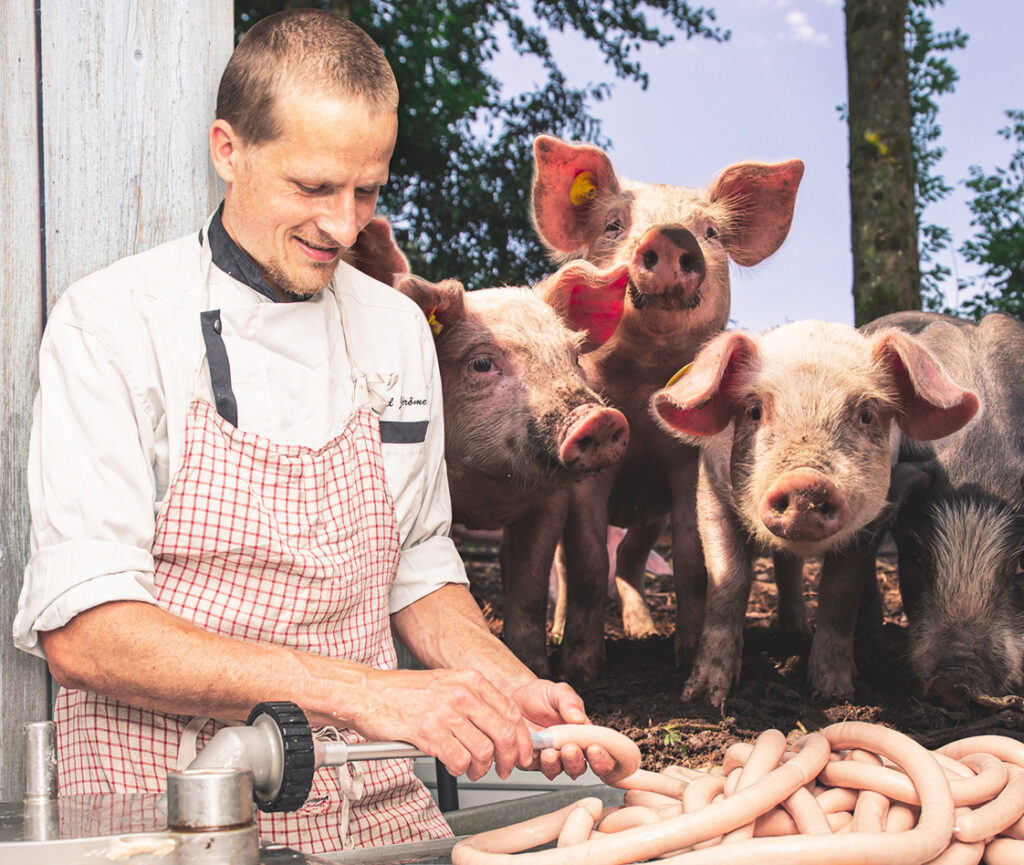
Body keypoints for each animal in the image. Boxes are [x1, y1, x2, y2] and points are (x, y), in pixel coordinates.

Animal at [528, 133, 806, 679]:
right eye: (613, 225)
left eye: (711, 231)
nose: (672, 235)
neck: (643, 390)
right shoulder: (589, 472)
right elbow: (588, 561)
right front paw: (583, 669)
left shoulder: (684, 466)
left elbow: (691, 560)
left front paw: (683, 659)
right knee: (571, 570)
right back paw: (564, 634)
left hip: (646, 519)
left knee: (631, 563)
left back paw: (643, 632)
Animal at [651, 321, 978, 704]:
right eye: (754, 411)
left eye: (866, 415)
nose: (805, 483)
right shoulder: (711, 495)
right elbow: (730, 580)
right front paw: (703, 696)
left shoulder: (870, 524)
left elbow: (840, 592)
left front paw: (834, 692)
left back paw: (801, 636)